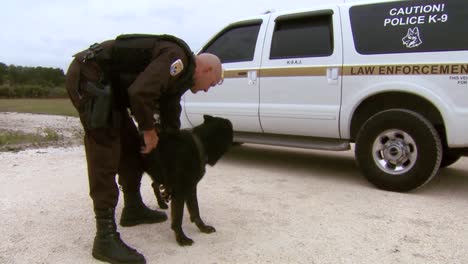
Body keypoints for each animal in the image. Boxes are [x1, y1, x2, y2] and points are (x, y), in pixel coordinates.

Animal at [142, 115, 231, 245]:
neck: (199, 144)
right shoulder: (180, 191)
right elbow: (178, 217)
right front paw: (181, 238)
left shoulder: (191, 187)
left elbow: (195, 211)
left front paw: (203, 228)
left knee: (154, 184)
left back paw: (161, 203)